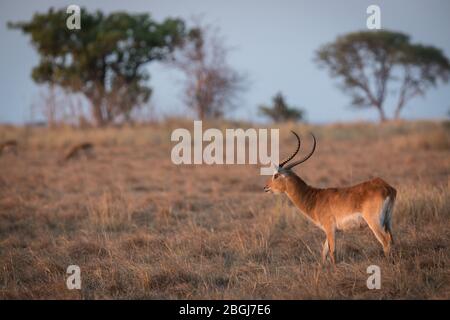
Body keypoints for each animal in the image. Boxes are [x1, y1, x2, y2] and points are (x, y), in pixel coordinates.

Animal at [264, 131, 398, 264]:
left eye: (276, 175)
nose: (266, 187)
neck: (314, 198)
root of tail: (387, 188)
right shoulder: (329, 231)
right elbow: (324, 252)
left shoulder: (330, 228)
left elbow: (332, 252)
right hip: (388, 221)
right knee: (392, 239)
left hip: (374, 222)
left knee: (385, 241)